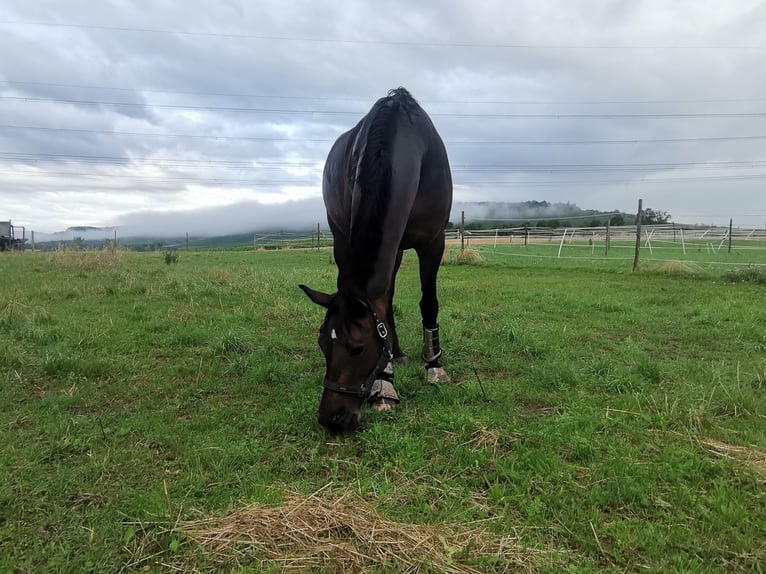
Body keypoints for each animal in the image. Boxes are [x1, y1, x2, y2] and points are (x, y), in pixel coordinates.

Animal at [300, 88, 452, 434]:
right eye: (322, 344)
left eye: (357, 348)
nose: (331, 418)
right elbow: (382, 305)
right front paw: (385, 385)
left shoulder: (434, 242)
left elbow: (429, 302)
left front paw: (434, 367)